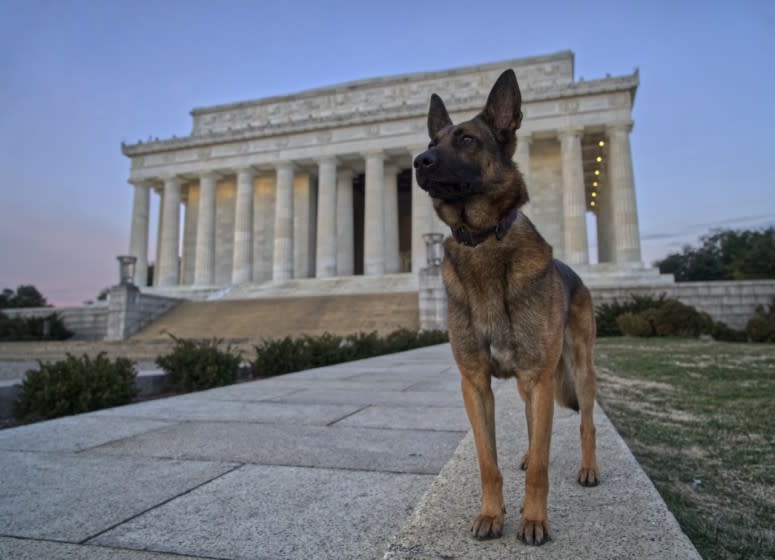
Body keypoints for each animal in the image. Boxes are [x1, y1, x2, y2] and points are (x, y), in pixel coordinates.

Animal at [412, 68, 600, 544]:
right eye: (432, 139)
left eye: (466, 139)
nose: (418, 161)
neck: (482, 240)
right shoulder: (475, 381)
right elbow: (488, 461)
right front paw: (491, 514)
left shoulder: (538, 375)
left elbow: (541, 467)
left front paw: (533, 520)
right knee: (537, 428)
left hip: (579, 366)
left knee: (586, 420)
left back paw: (589, 468)